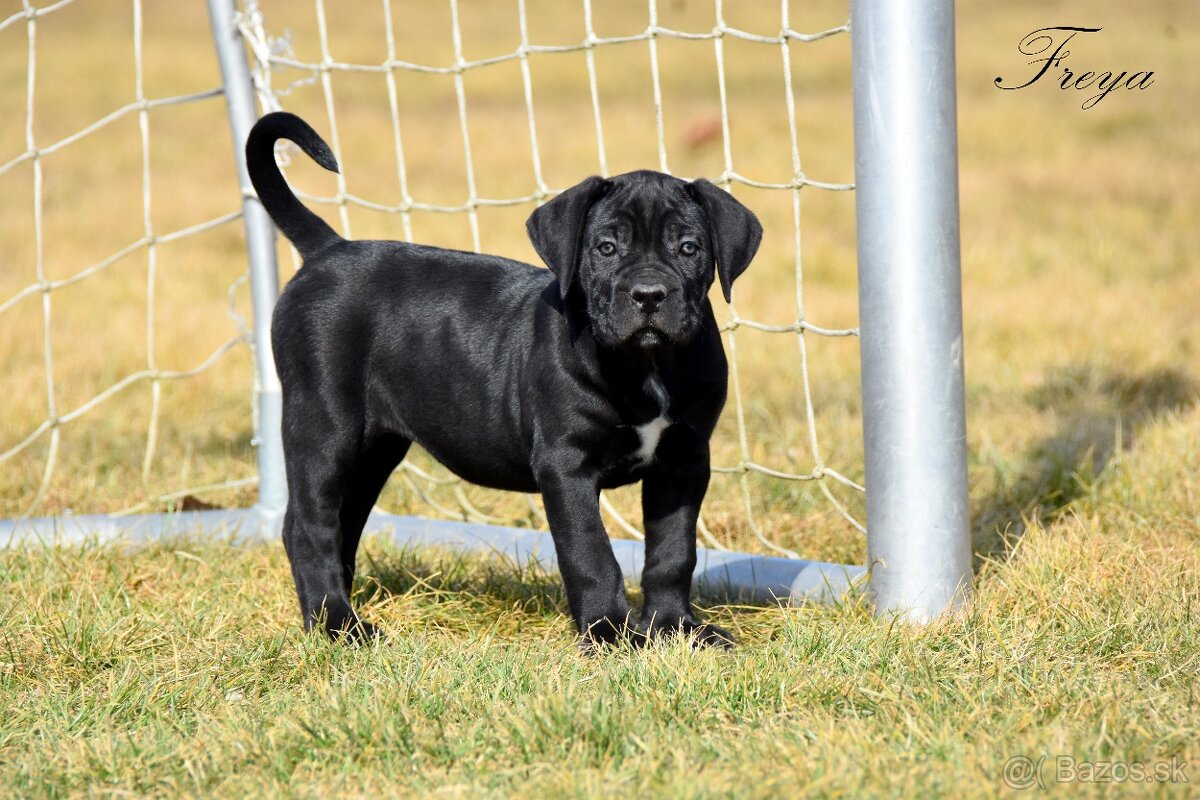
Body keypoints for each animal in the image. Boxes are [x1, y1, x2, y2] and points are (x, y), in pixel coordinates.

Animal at [246, 112, 758, 652]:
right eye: (605, 248)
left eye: (689, 248)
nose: (649, 294)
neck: (648, 363)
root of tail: (328, 250)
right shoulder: (566, 464)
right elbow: (591, 553)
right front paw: (608, 633)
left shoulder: (683, 460)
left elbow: (673, 551)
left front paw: (676, 628)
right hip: (324, 426)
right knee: (309, 526)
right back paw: (337, 623)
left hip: (374, 448)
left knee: (341, 521)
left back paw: (335, 610)